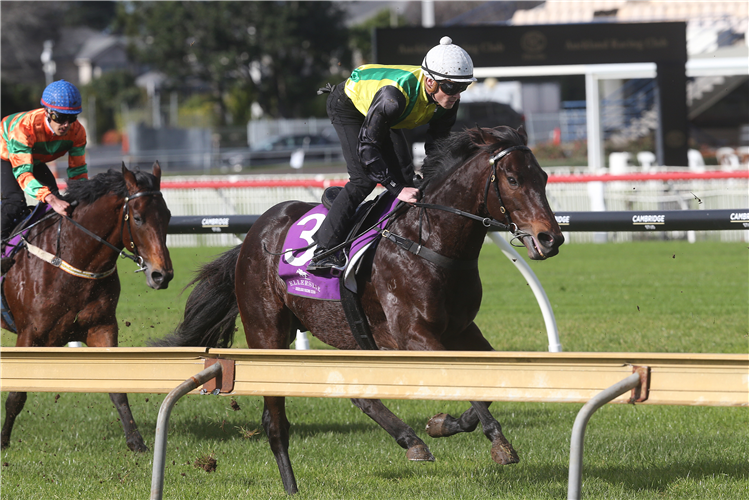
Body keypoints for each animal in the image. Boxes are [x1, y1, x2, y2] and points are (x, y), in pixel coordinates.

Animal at [0, 163, 172, 454]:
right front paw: (3, 441)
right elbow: (16, 394)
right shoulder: (28, 333)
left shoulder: (101, 327)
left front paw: (136, 441)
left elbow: (116, 387)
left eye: (168, 216)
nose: (163, 275)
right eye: (138, 218)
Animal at [153, 127, 560, 494]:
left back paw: (410, 439)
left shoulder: (461, 330)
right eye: (512, 179)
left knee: (358, 395)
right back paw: (292, 486)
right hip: (266, 330)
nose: (550, 238)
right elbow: (464, 382)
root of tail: (254, 233)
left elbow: (487, 384)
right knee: (275, 420)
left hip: (348, 333)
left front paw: (442, 423)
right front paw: (500, 444)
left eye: (543, 177)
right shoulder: (414, 336)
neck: (429, 241)